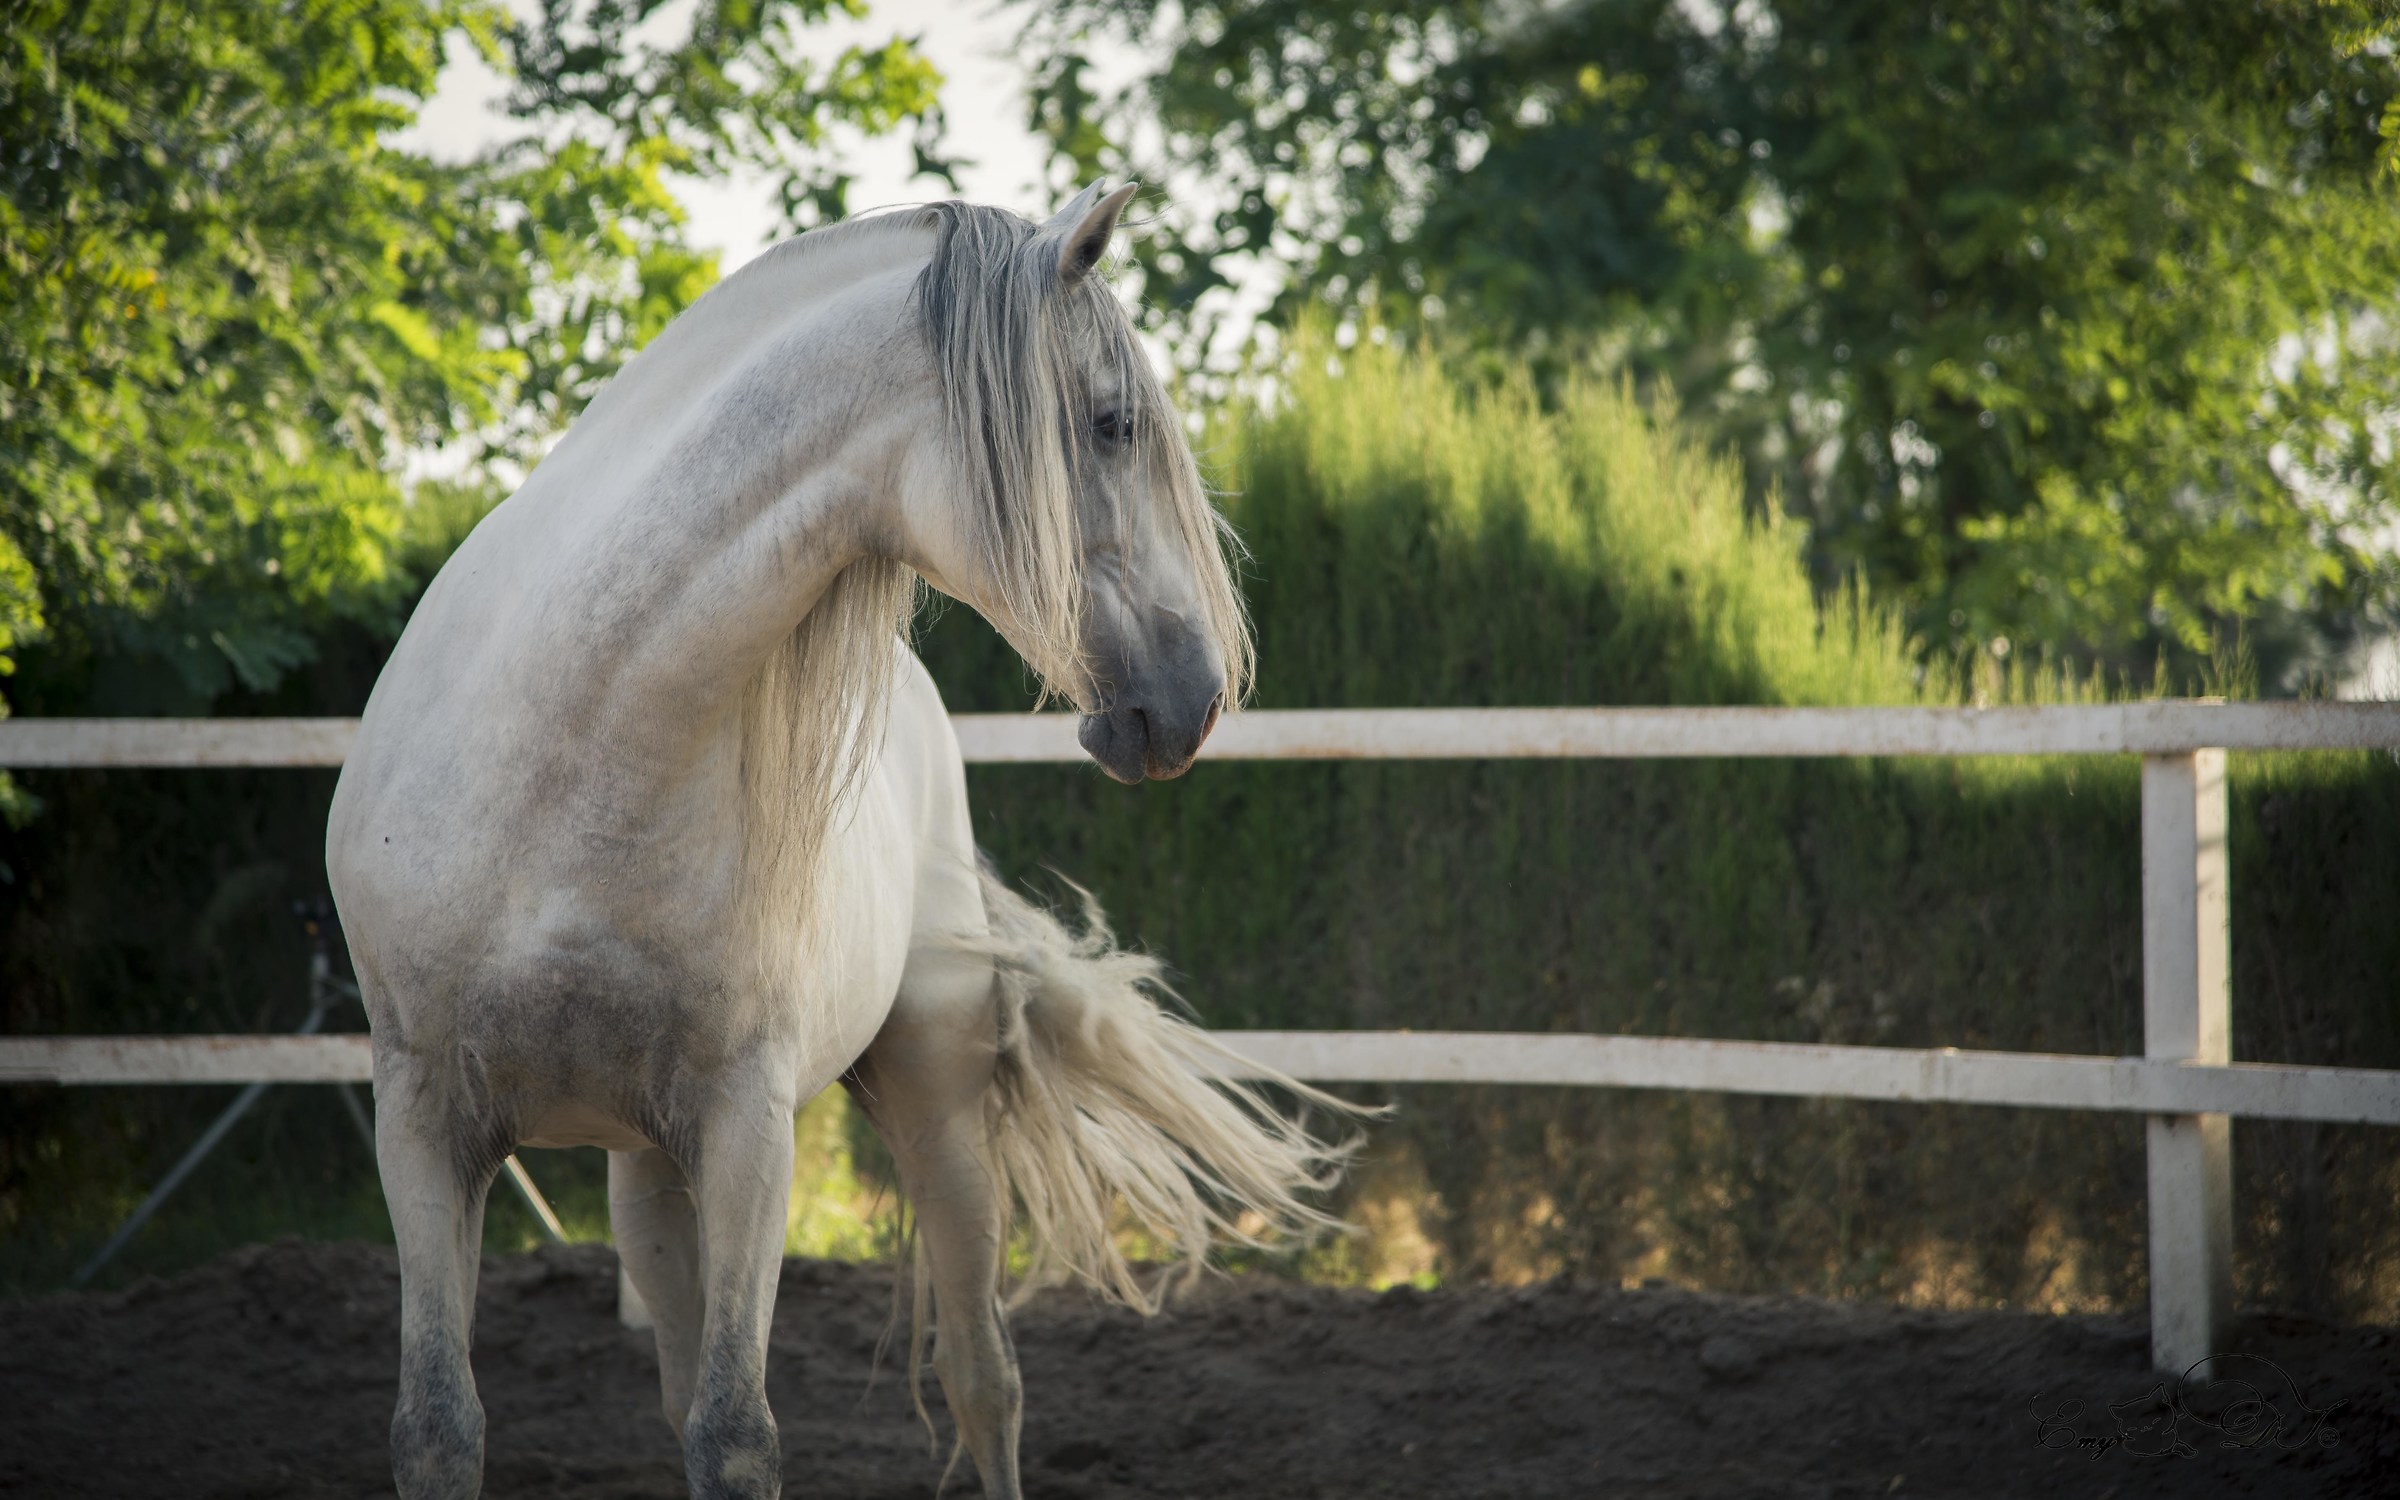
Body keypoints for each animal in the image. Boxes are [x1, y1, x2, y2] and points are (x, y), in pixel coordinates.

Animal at [325, 184, 1357, 1500]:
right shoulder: (421, 1117)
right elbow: (442, 1425)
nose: (1196, 699)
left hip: (933, 1103)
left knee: (982, 1378)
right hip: (645, 1169)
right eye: (1114, 423)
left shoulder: (745, 1123)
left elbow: (735, 1432)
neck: (562, 762)